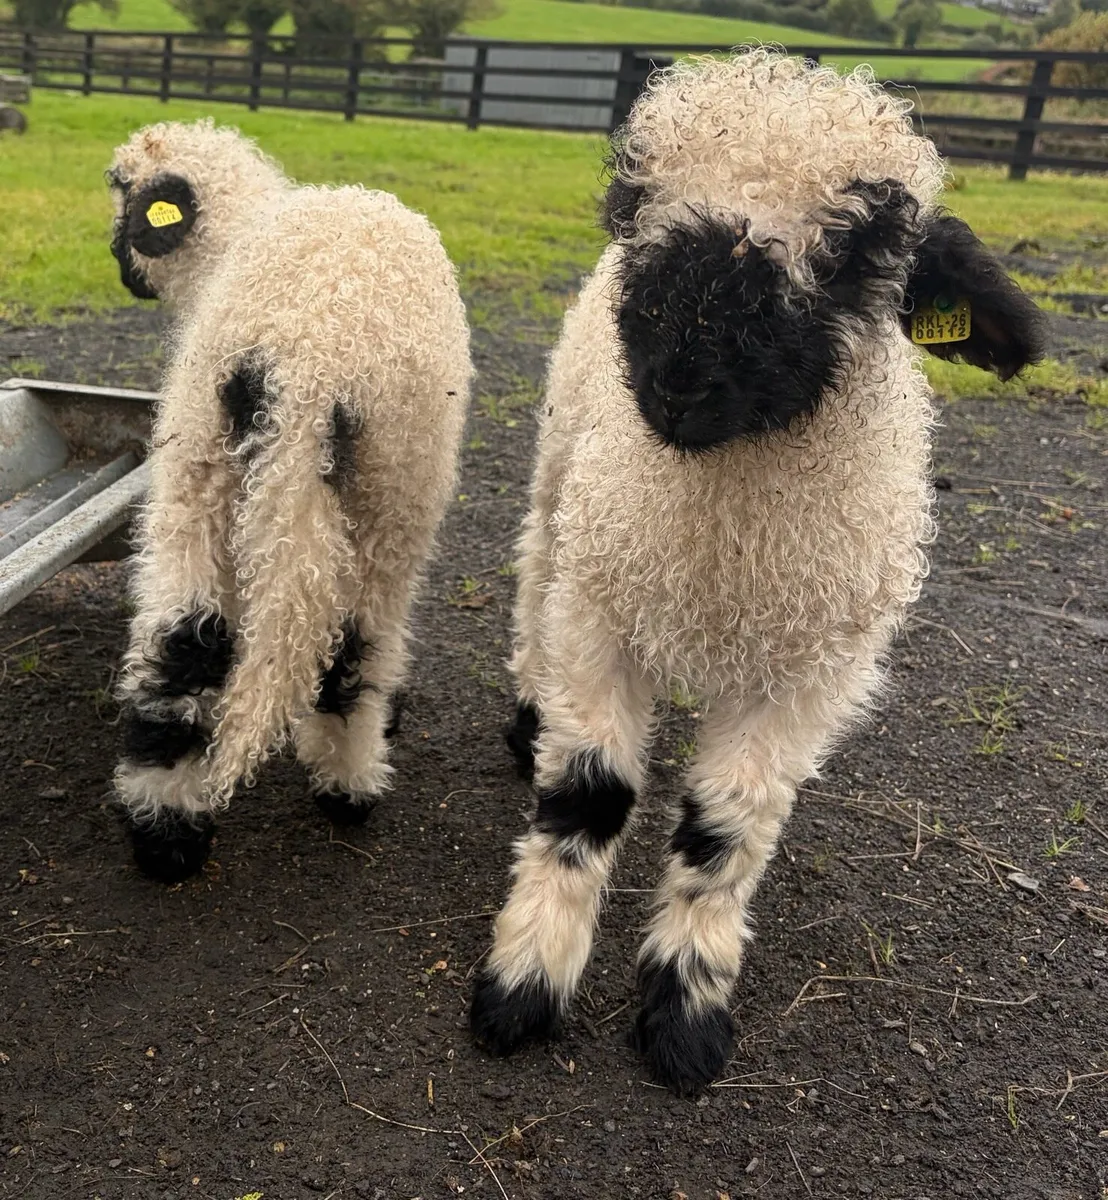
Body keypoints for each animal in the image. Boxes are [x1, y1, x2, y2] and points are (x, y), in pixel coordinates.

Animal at [107, 120, 471, 883]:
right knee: (350, 647)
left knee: (187, 639)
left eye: (124, 193)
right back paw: (344, 787)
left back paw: (170, 833)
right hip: (387, 495)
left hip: (205, 470)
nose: (121, 267)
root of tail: (307, 359)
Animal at [469, 50, 1045, 1094]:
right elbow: (588, 794)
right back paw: (528, 710)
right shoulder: (602, 616)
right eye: (638, 204)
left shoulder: (807, 675)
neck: (729, 542)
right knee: (536, 573)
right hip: (563, 485)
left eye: (857, 252)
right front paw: (526, 980)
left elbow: (726, 831)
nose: (678, 379)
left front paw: (685, 1011)